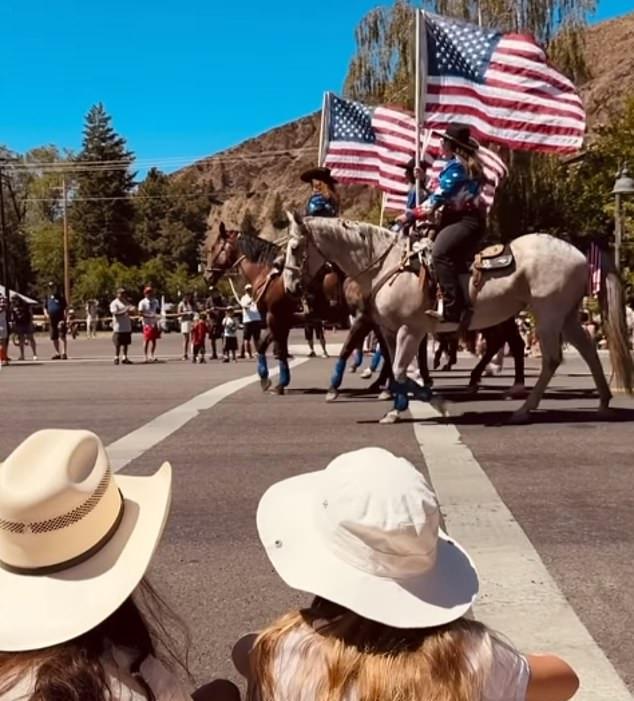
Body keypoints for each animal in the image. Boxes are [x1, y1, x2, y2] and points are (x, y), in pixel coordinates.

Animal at [286, 212, 632, 422]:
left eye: (295, 247)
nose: (290, 286)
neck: (388, 265)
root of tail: (581, 253)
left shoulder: (410, 329)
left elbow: (400, 369)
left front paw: (434, 402)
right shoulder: (389, 330)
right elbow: (396, 370)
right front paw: (398, 409)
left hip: (547, 315)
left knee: (551, 359)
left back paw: (523, 408)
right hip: (566, 316)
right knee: (587, 349)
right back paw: (602, 403)